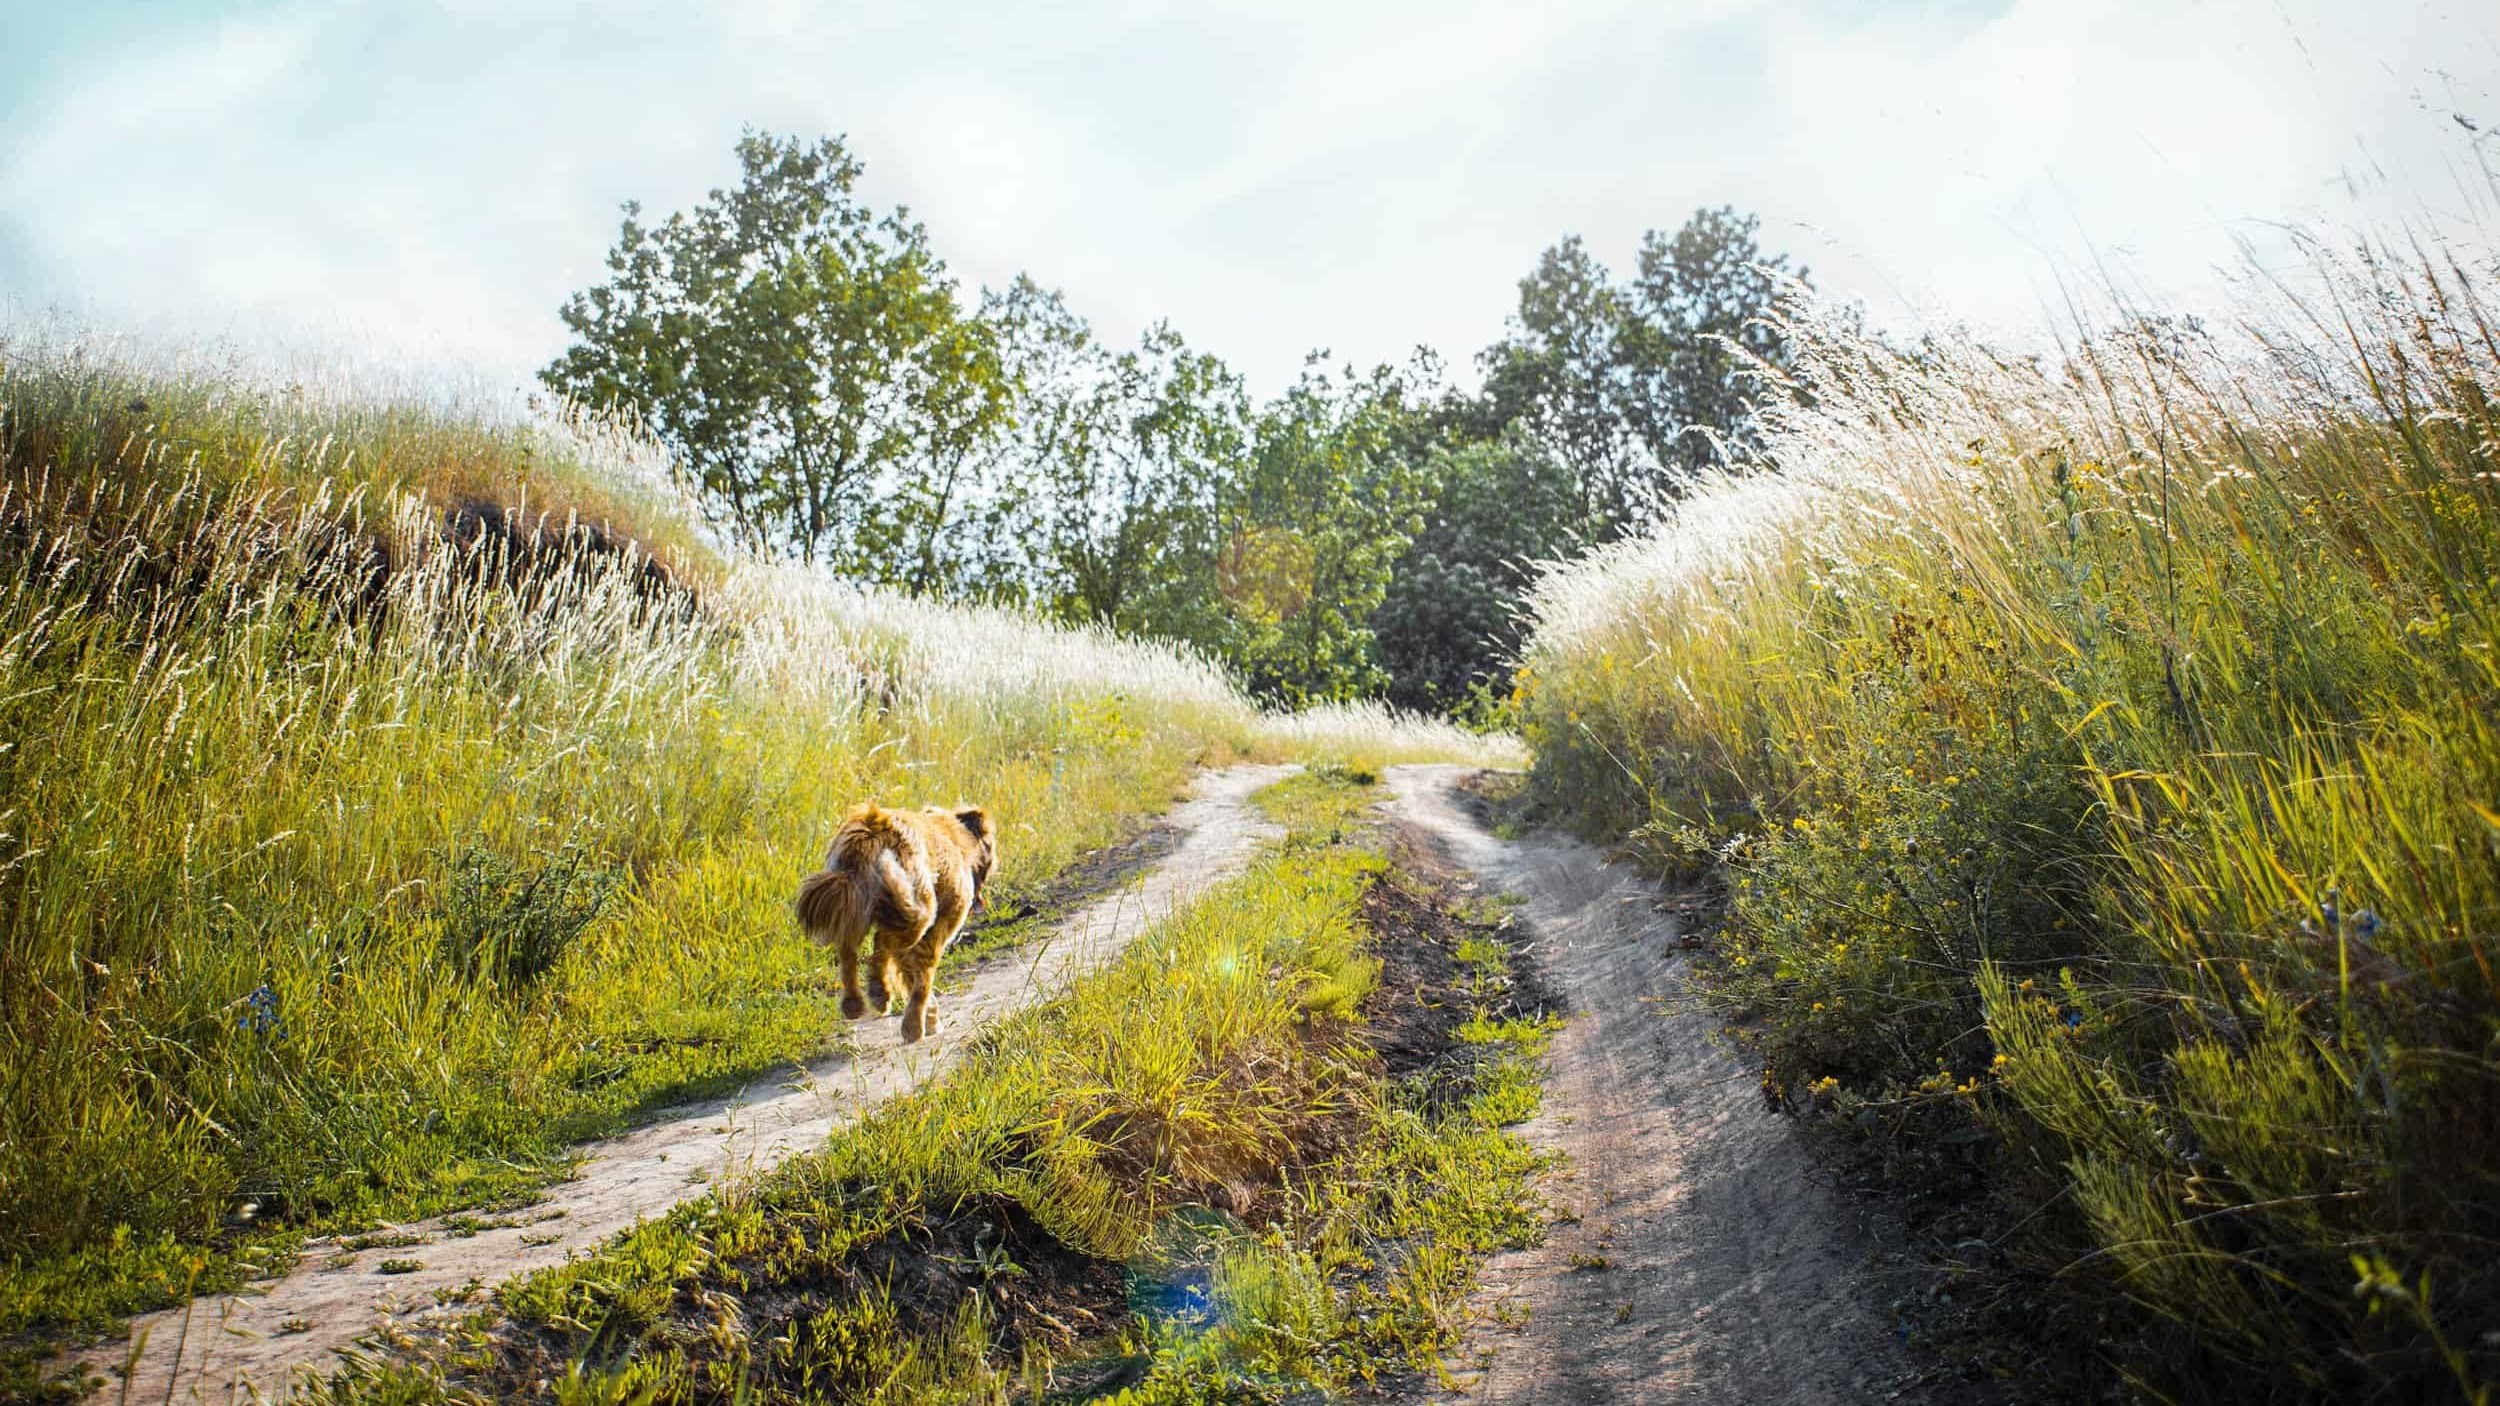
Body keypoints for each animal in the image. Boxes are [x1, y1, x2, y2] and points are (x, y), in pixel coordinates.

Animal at [800, 800, 995, 1040]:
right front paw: (917, 1026)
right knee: (880, 944)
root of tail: (872, 827)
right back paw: (879, 993)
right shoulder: (937, 932)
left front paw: (927, 1017)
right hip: (920, 912)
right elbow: (922, 983)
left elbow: (911, 977)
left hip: (852, 907)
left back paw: (855, 1003)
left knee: (849, 953)